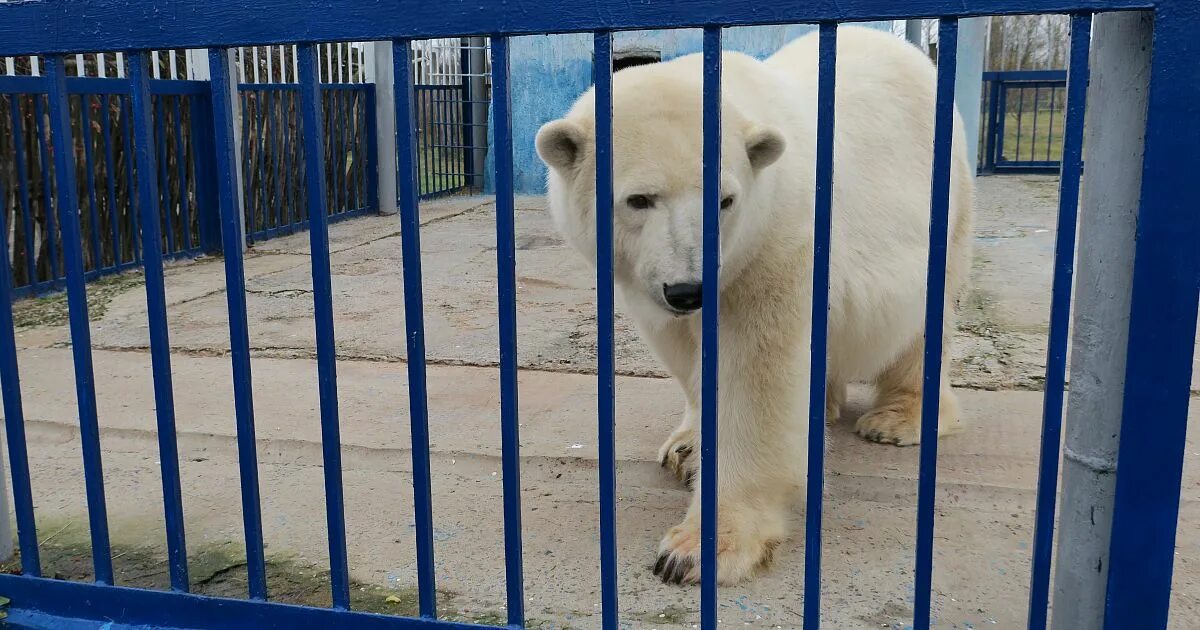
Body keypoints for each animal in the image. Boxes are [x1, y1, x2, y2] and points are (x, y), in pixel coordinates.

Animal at [535, 25, 974, 585]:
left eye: (725, 200)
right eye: (639, 199)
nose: (689, 289)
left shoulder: (774, 245)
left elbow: (756, 380)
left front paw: (701, 547)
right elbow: (689, 358)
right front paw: (686, 448)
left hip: (946, 207)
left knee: (923, 325)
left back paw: (897, 420)